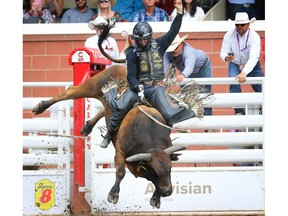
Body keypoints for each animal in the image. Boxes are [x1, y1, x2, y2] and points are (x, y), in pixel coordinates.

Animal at [31, 65, 184, 208]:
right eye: (153, 171)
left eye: (169, 169)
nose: (167, 192)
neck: (151, 144)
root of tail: (119, 67)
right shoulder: (120, 153)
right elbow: (121, 172)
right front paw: (113, 194)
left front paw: (156, 198)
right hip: (93, 85)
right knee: (71, 91)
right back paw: (40, 107)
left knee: (105, 110)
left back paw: (87, 127)